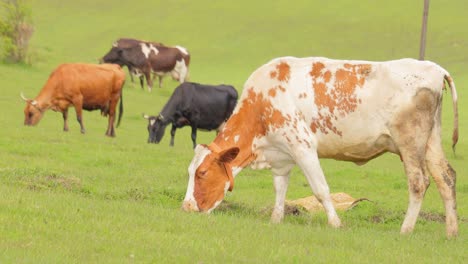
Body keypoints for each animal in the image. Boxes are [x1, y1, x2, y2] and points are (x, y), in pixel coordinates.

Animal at [181, 56, 458, 237]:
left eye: (202, 173)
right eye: (190, 172)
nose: (186, 208)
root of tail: (435, 69)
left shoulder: (302, 147)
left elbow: (321, 190)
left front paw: (336, 223)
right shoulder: (281, 157)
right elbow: (280, 189)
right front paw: (275, 219)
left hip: (410, 143)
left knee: (419, 182)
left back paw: (405, 229)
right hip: (431, 141)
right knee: (446, 178)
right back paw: (452, 231)